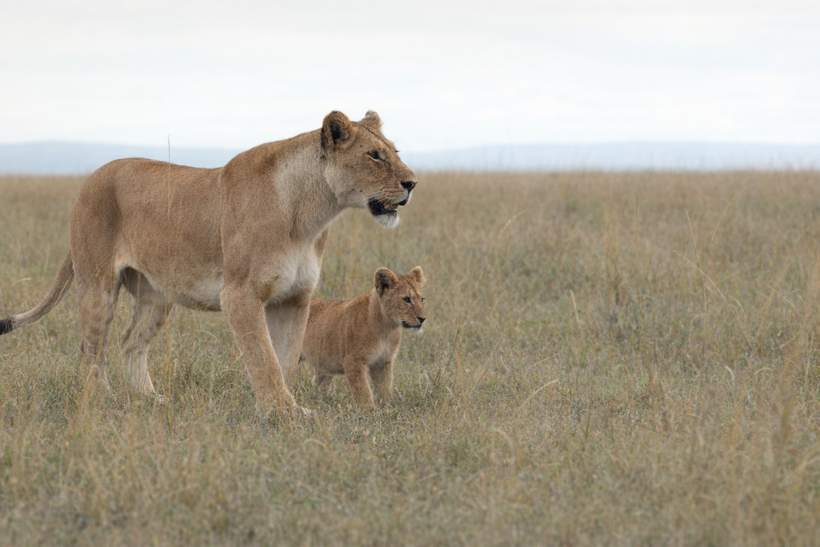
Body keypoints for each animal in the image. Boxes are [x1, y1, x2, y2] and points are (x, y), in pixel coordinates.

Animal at [300, 266, 426, 409]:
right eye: (406, 299)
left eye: (422, 299)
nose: (423, 319)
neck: (387, 328)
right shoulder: (353, 361)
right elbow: (363, 393)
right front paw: (370, 412)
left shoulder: (383, 362)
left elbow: (384, 389)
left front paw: (387, 408)